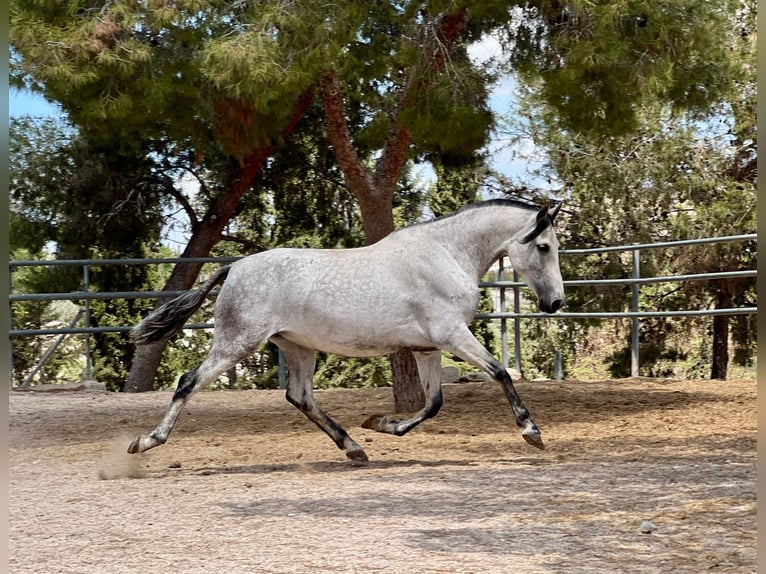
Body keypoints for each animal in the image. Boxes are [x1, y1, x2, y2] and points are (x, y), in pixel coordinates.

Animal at [129, 201, 568, 464]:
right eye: (544, 247)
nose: (556, 303)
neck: (446, 254)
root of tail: (233, 268)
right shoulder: (451, 336)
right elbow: (499, 372)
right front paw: (532, 432)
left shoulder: (427, 348)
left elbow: (433, 403)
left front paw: (382, 424)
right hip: (237, 343)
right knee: (188, 382)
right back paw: (146, 442)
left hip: (298, 348)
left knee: (300, 396)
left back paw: (354, 448)